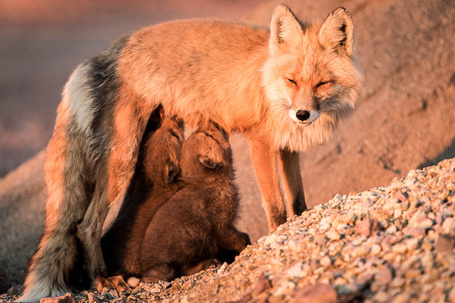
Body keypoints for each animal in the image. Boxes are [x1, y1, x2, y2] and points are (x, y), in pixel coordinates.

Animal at [19, 4, 362, 302]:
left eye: (322, 83)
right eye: (292, 80)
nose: (302, 114)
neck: (268, 83)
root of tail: (101, 55)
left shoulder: (287, 147)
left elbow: (298, 201)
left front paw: (299, 227)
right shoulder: (260, 142)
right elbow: (276, 207)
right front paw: (278, 239)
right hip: (122, 160)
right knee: (85, 224)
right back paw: (101, 279)